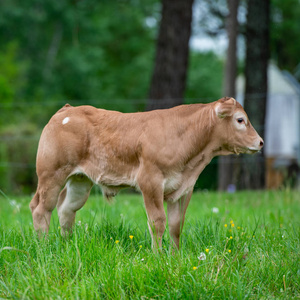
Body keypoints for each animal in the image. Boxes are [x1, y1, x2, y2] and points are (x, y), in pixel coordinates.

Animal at [28, 98, 262, 248]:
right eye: (240, 120)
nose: (260, 142)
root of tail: (67, 110)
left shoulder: (185, 188)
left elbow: (176, 226)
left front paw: (175, 258)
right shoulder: (150, 181)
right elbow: (157, 222)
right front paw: (158, 257)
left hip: (80, 180)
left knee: (66, 209)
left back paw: (67, 245)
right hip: (51, 174)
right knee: (41, 208)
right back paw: (44, 248)